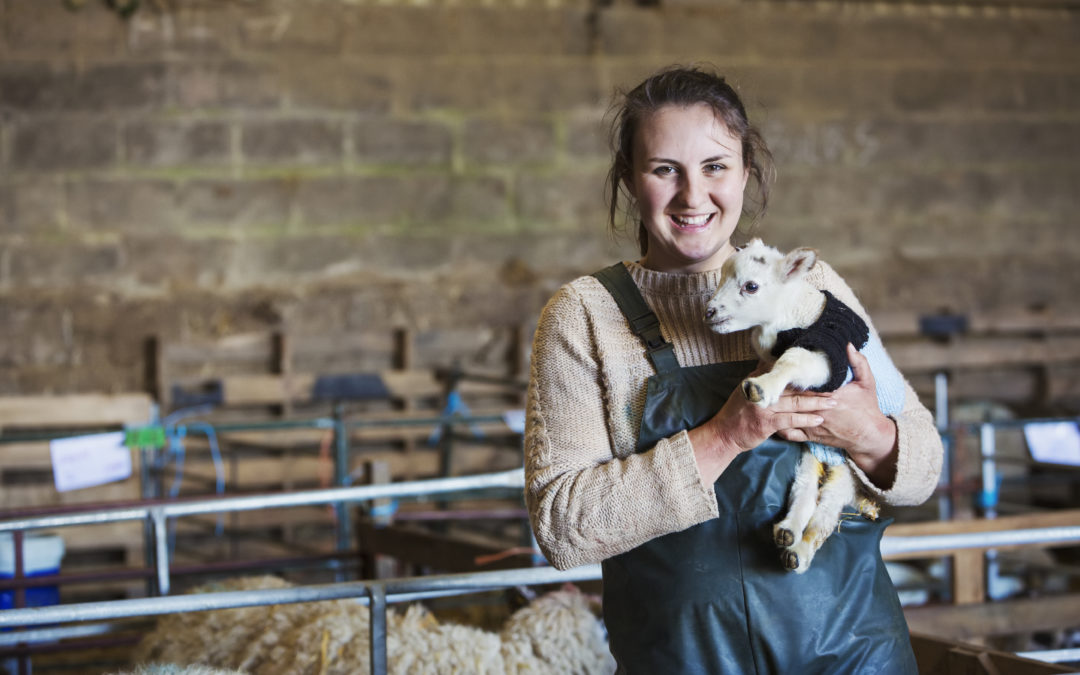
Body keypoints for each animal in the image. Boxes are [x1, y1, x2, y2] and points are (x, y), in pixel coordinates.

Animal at [704, 239, 907, 570]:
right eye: (721, 276)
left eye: (751, 286)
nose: (708, 312)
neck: (792, 314)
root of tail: (831, 463)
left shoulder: (828, 356)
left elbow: (793, 359)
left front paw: (761, 388)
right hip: (810, 458)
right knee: (805, 493)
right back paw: (788, 532)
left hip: (846, 473)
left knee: (826, 512)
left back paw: (799, 550)